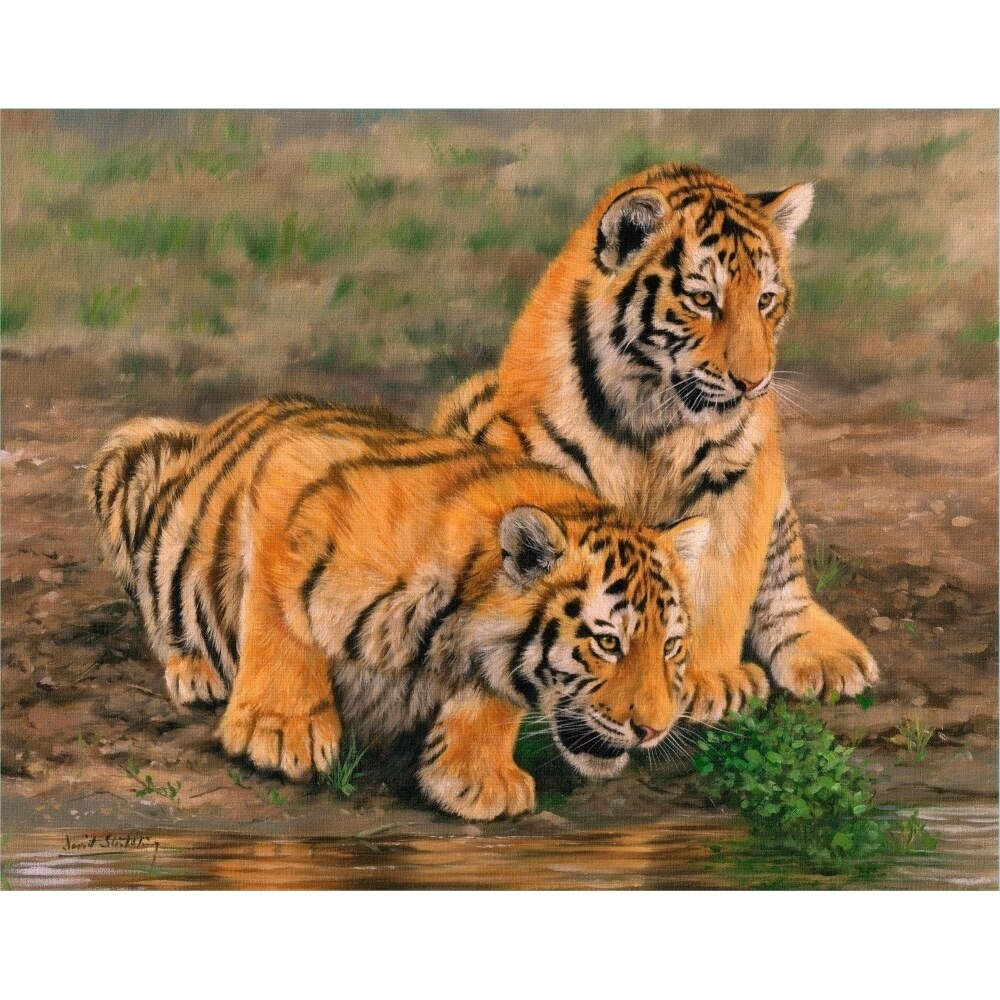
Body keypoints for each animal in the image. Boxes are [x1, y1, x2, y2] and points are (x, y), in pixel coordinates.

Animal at [88, 394, 708, 820]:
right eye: (607, 642)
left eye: (671, 647)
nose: (653, 731)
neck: (453, 624)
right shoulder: (291, 470)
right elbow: (279, 613)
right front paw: (280, 730)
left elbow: (494, 694)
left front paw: (476, 778)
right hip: (131, 446)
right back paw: (196, 671)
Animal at [431, 163, 878, 723]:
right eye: (703, 300)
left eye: (765, 301)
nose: (754, 384)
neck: (650, 404)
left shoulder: (743, 473)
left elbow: (724, 577)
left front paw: (709, 678)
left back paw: (830, 657)